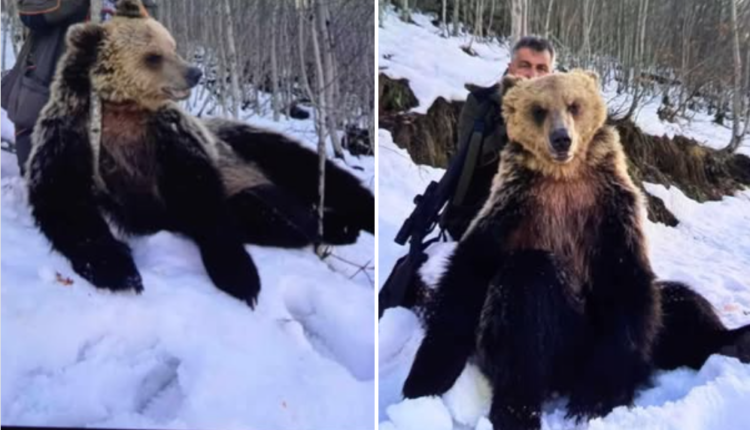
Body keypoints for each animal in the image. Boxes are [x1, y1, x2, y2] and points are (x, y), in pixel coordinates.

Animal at [27, 0, 374, 310]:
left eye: (172, 44)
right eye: (153, 56)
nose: (193, 73)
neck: (121, 107)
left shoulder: (166, 134)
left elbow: (201, 194)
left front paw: (239, 276)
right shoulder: (71, 135)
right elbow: (65, 202)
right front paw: (119, 270)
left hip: (251, 146)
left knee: (319, 177)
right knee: (273, 214)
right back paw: (337, 227)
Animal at [406, 69, 750, 430]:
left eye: (574, 105)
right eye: (539, 109)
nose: (562, 139)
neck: (564, 177)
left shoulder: (608, 208)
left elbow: (628, 283)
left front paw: (597, 396)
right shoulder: (516, 206)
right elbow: (469, 273)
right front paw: (423, 380)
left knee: (679, 303)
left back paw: (735, 341)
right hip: (562, 337)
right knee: (525, 293)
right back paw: (516, 409)